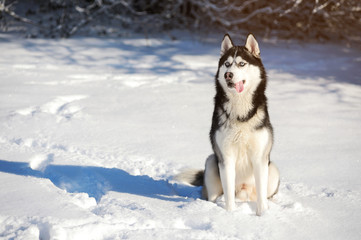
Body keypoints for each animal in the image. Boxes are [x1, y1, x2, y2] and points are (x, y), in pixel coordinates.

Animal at [176, 33, 280, 216]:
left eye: (241, 63)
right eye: (227, 64)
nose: (228, 75)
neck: (240, 113)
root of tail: (243, 193)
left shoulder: (260, 157)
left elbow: (261, 195)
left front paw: (262, 214)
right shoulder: (226, 157)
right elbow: (229, 192)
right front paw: (230, 214)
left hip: (273, 169)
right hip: (212, 162)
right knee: (216, 194)